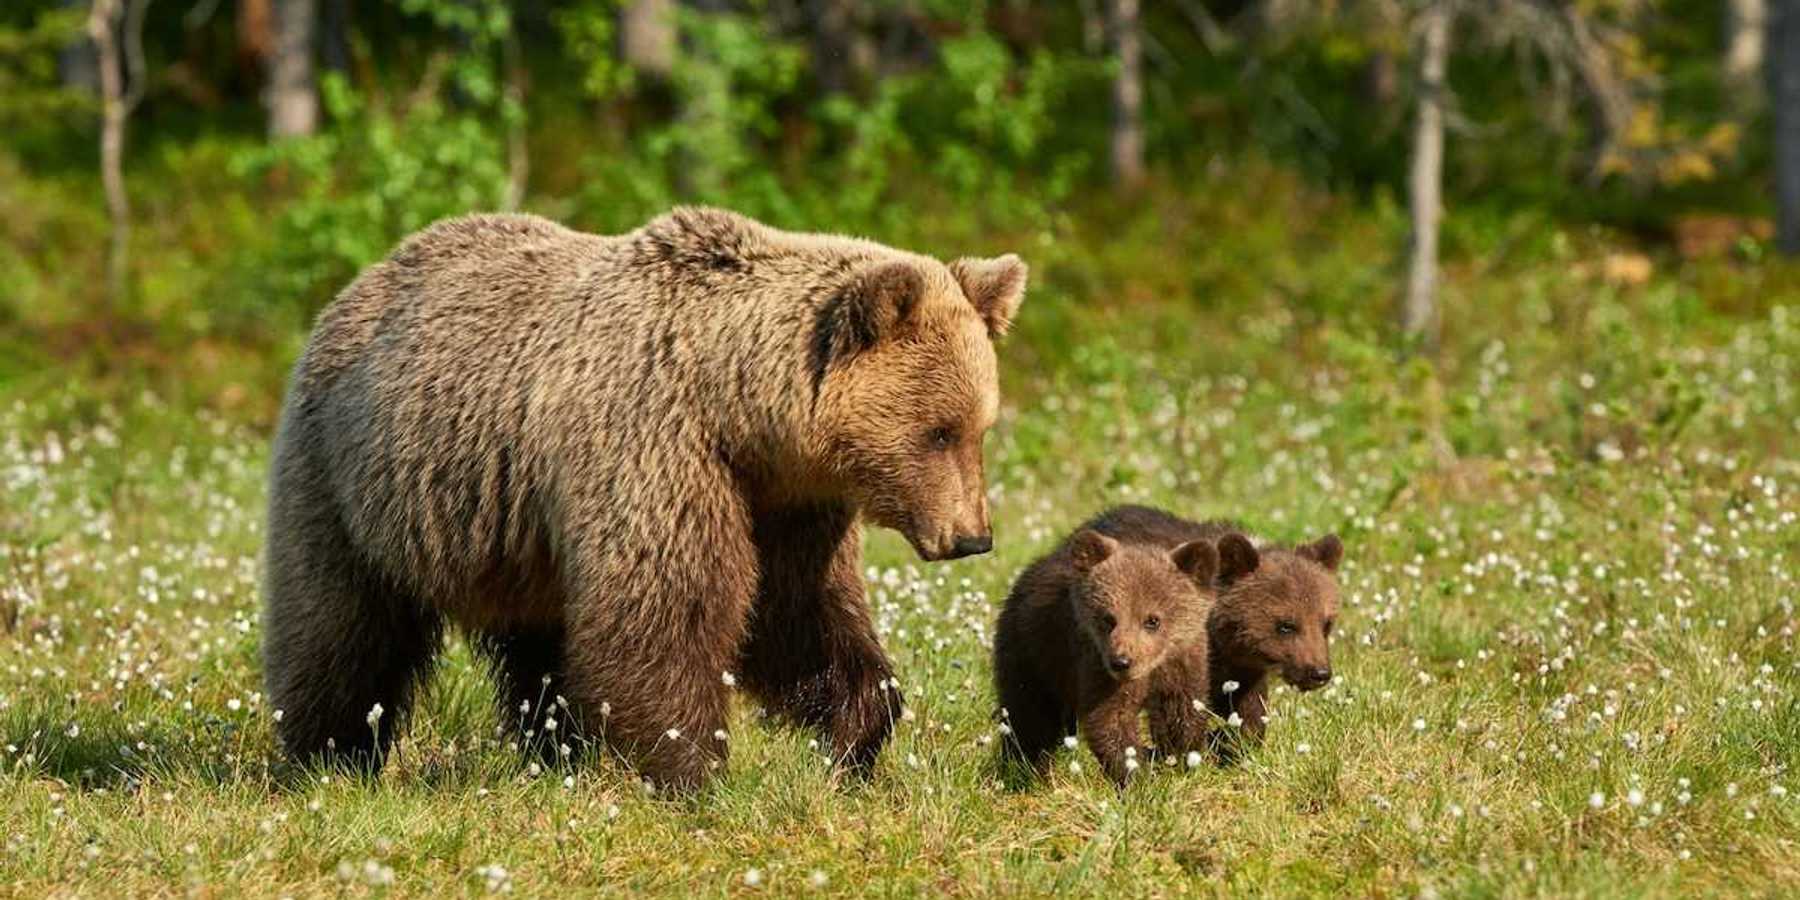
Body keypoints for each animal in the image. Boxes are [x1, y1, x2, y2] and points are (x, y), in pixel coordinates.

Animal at [261, 207, 1028, 790]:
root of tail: (363, 281)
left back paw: (553, 753)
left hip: (518, 537)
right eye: (937, 431)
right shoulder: (652, 446)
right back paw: (328, 758)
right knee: (341, 625)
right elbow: (665, 609)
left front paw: (856, 735)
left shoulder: (785, 503)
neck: (736, 410)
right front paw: (693, 767)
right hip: (352, 478)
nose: (972, 537)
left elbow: (798, 614)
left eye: (979, 428)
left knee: (540, 645)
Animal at [992, 515, 1217, 787]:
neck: (1152, 667)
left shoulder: (1182, 660)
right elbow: (1110, 719)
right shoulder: (1095, 662)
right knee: (1029, 718)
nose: (1121, 661)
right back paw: (1024, 770)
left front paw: (1181, 762)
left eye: (1152, 620)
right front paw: (1136, 776)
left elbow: (1181, 710)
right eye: (1108, 618)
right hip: (1033, 653)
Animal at [1079, 506, 1342, 760]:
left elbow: (1249, 709)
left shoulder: (1239, 669)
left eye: (1326, 624)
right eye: (1286, 625)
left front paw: (1234, 744)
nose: (1319, 673)